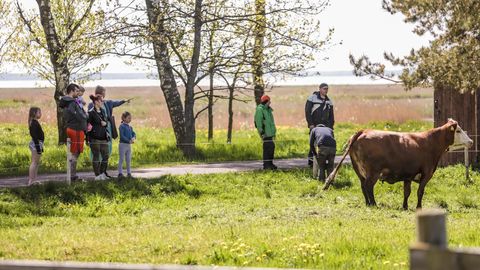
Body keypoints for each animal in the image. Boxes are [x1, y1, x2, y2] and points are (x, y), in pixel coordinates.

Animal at [322, 119, 472, 210]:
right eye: (458, 130)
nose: (470, 141)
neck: (430, 142)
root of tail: (364, 131)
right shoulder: (426, 174)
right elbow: (420, 192)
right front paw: (418, 207)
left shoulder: (408, 176)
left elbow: (407, 192)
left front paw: (405, 206)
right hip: (373, 173)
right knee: (368, 187)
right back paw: (374, 204)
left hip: (360, 172)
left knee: (363, 187)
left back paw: (368, 204)